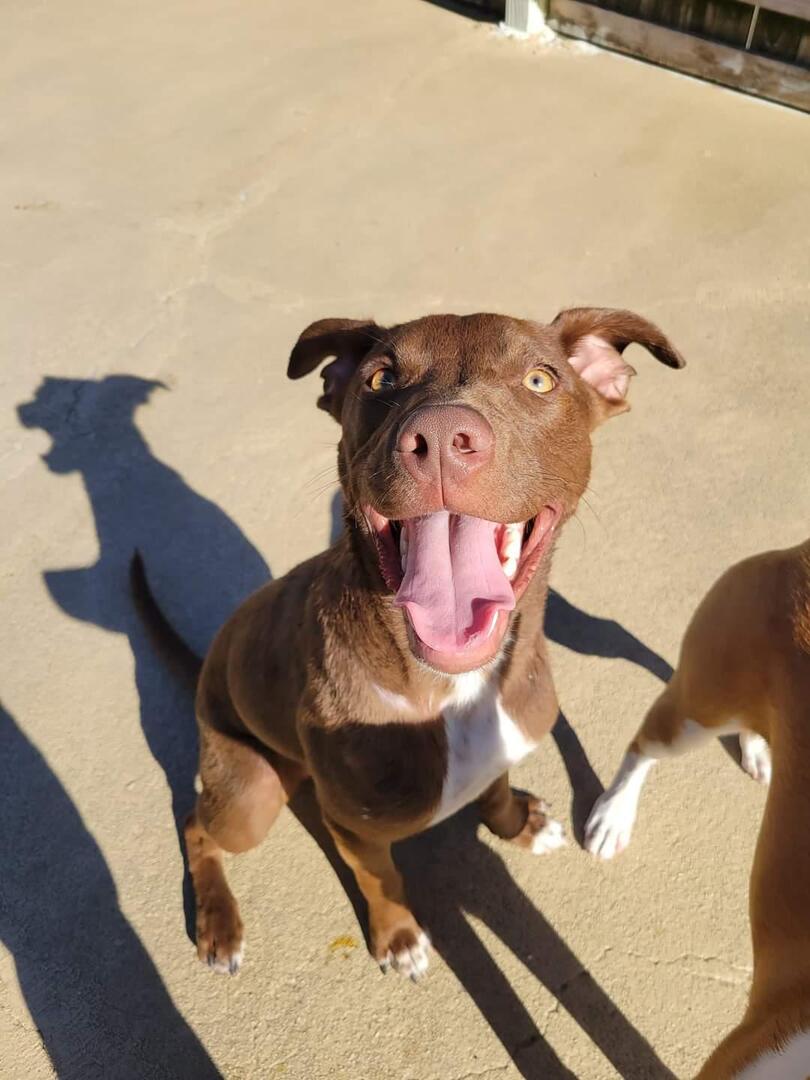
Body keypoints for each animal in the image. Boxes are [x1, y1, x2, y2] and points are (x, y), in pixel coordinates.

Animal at [135, 306, 686, 980]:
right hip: (249, 797)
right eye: (379, 380)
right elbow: (381, 879)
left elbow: (494, 790)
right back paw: (219, 924)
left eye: (539, 380)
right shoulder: (354, 829)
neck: (453, 685)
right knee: (197, 825)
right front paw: (397, 936)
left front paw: (517, 824)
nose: (443, 438)